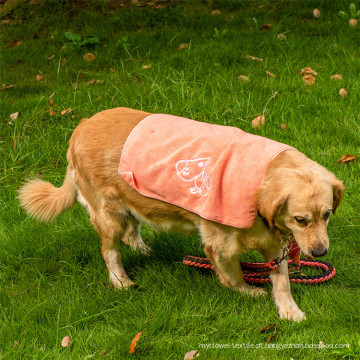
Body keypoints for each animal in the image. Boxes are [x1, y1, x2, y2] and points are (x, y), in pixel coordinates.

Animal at [18, 107, 344, 320]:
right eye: (301, 219)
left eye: (327, 214)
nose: (321, 252)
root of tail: (81, 126)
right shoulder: (220, 246)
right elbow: (234, 276)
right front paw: (248, 291)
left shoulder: (274, 245)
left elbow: (282, 281)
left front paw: (289, 310)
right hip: (107, 214)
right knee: (110, 251)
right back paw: (121, 281)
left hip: (131, 203)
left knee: (131, 231)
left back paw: (143, 249)